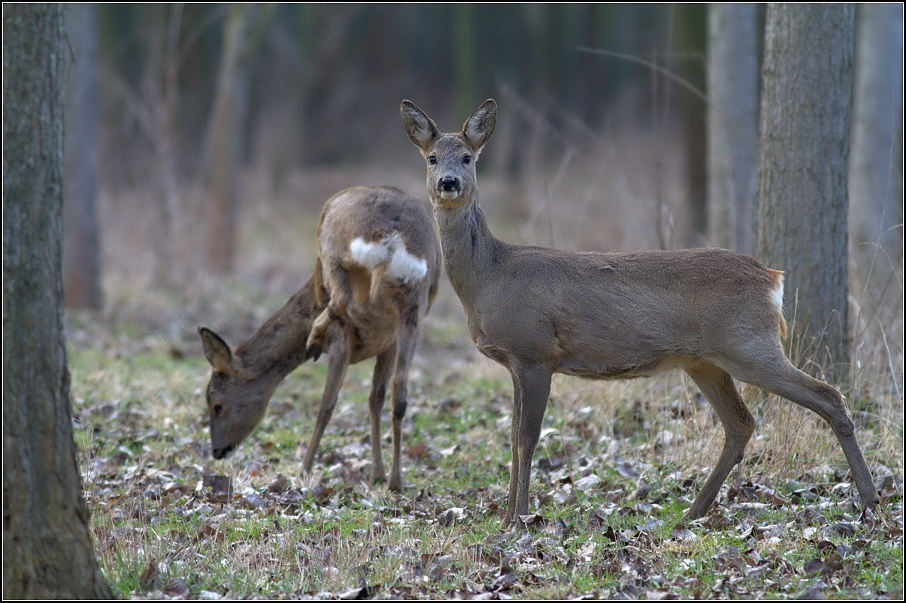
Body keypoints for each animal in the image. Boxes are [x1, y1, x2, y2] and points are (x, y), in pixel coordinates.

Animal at [200, 185, 440, 490]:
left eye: (216, 405)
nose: (217, 450)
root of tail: (394, 238)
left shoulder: (343, 339)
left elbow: (327, 404)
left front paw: (303, 471)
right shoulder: (388, 341)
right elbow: (375, 398)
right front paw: (377, 474)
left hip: (332, 247)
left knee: (340, 301)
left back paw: (314, 336)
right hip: (414, 307)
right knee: (400, 394)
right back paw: (396, 481)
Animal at [398, 98, 876, 524]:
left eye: (467, 157)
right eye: (431, 158)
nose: (448, 183)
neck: (489, 278)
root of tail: (772, 278)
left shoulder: (535, 352)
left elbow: (526, 439)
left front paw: (517, 518)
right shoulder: (517, 361)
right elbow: (513, 438)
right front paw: (507, 516)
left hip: (749, 343)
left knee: (827, 395)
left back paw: (870, 500)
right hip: (705, 360)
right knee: (741, 422)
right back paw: (693, 512)